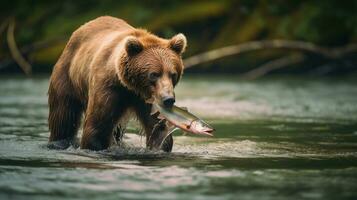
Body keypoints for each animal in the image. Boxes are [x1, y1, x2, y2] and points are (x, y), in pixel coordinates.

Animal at [46, 16, 186, 151]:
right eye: (153, 74)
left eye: (173, 74)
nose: (168, 99)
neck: (131, 87)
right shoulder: (108, 88)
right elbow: (97, 127)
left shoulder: (148, 100)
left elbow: (157, 127)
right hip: (66, 77)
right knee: (63, 116)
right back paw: (59, 141)